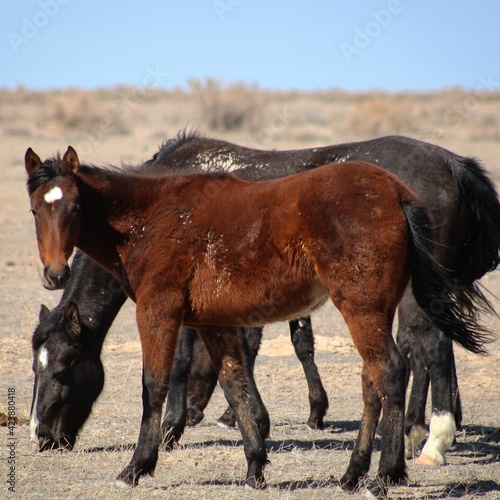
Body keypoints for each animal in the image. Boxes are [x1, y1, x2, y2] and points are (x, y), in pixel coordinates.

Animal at [25, 146, 490, 496]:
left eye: (64, 368)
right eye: (34, 210)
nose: (41, 435)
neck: (149, 219)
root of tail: (395, 191)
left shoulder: (158, 312)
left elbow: (154, 385)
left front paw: (137, 467)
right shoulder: (213, 324)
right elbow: (235, 384)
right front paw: (254, 468)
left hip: (362, 309)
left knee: (393, 371)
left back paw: (386, 475)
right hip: (376, 309)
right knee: (372, 380)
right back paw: (352, 474)